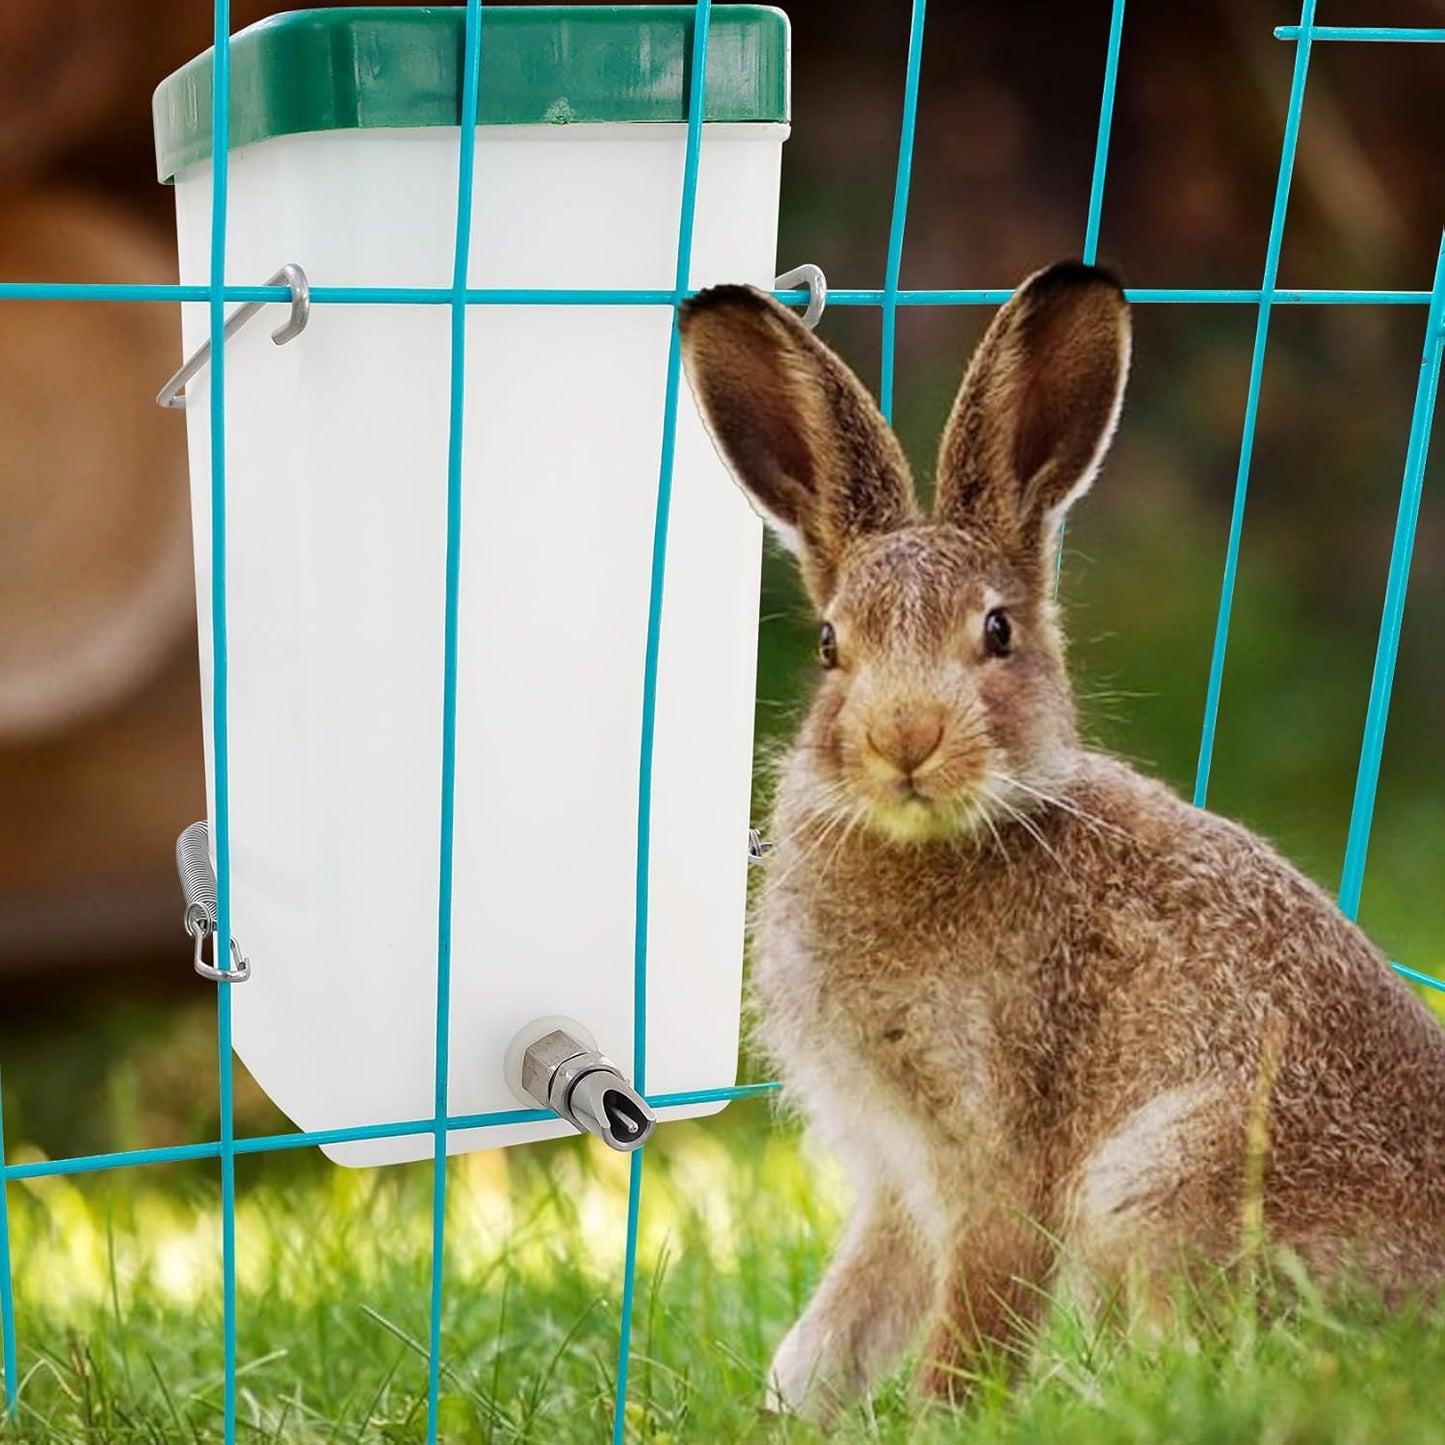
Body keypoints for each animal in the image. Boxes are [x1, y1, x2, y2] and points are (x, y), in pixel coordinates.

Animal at [676, 261, 1445, 1425]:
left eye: (995, 631)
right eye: (829, 646)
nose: (904, 739)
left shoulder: (1002, 1151)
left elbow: (976, 1312)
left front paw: (940, 1419)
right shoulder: (895, 1174)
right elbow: (844, 1318)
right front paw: (784, 1413)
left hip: (1163, 1175)